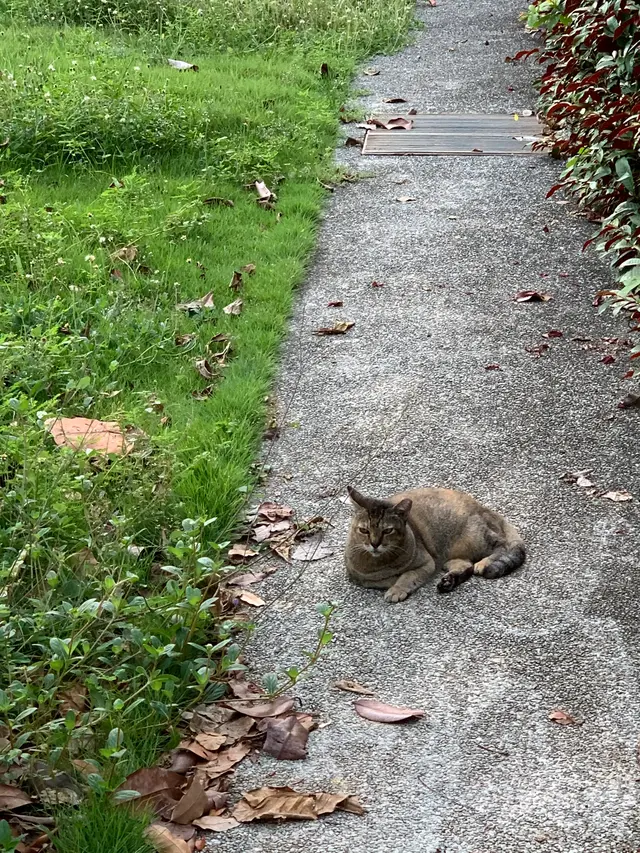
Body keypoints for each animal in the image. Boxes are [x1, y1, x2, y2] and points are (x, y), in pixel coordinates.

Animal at [344, 482, 524, 604]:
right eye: (364, 530)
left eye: (387, 531)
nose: (374, 544)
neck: (380, 563)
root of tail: (484, 508)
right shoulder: (361, 578)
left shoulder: (427, 563)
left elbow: (407, 576)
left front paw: (397, 589)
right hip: (454, 555)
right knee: (465, 565)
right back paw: (449, 581)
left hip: (474, 537)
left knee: (500, 546)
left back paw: (483, 563)